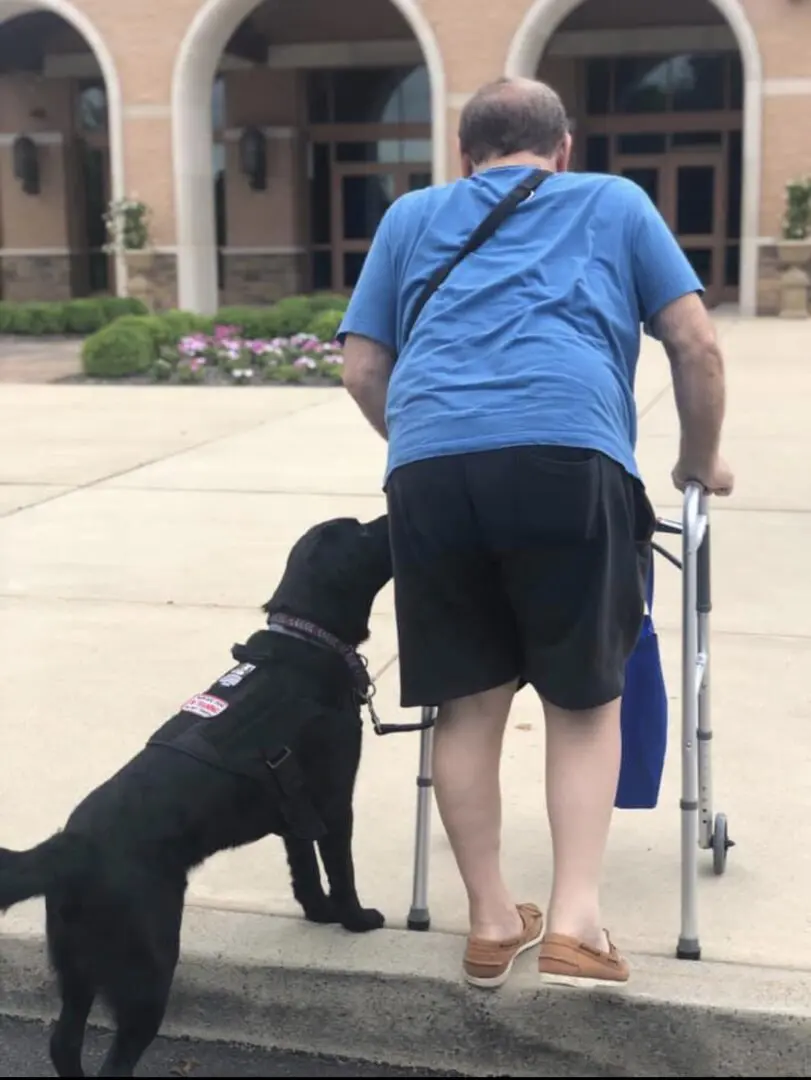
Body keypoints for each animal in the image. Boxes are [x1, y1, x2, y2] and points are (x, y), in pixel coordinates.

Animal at [0, 511, 393, 1071]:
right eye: (360, 532)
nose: (387, 509)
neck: (308, 639)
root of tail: (68, 846)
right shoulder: (334, 801)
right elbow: (341, 871)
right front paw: (355, 919)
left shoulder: (295, 813)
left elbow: (305, 874)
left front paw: (318, 914)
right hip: (148, 967)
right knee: (115, 1060)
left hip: (77, 966)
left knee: (63, 1043)